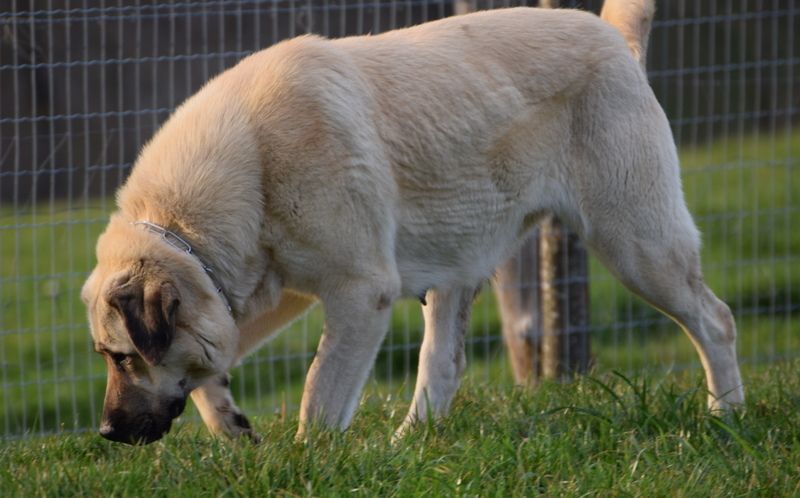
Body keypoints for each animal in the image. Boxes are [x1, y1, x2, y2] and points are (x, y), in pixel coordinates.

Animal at [81, 0, 744, 444]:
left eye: (120, 358)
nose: (108, 432)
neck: (247, 169)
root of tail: (614, 37)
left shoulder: (358, 293)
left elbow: (318, 393)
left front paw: (310, 461)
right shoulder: (268, 291)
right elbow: (212, 362)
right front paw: (230, 426)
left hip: (638, 245)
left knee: (716, 320)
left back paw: (726, 416)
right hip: (461, 263)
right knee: (444, 367)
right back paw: (408, 446)